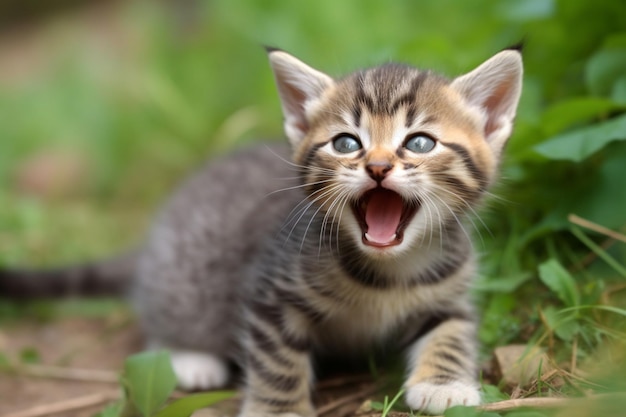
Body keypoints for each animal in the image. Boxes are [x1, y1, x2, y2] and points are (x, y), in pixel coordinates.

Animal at [0, 47, 520, 414]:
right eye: (346, 143)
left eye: (419, 143)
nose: (376, 167)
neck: (385, 271)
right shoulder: (270, 293)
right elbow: (277, 359)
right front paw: (279, 410)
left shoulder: (450, 290)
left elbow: (453, 331)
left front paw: (444, 384)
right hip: (184, 272)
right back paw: (190, 356)